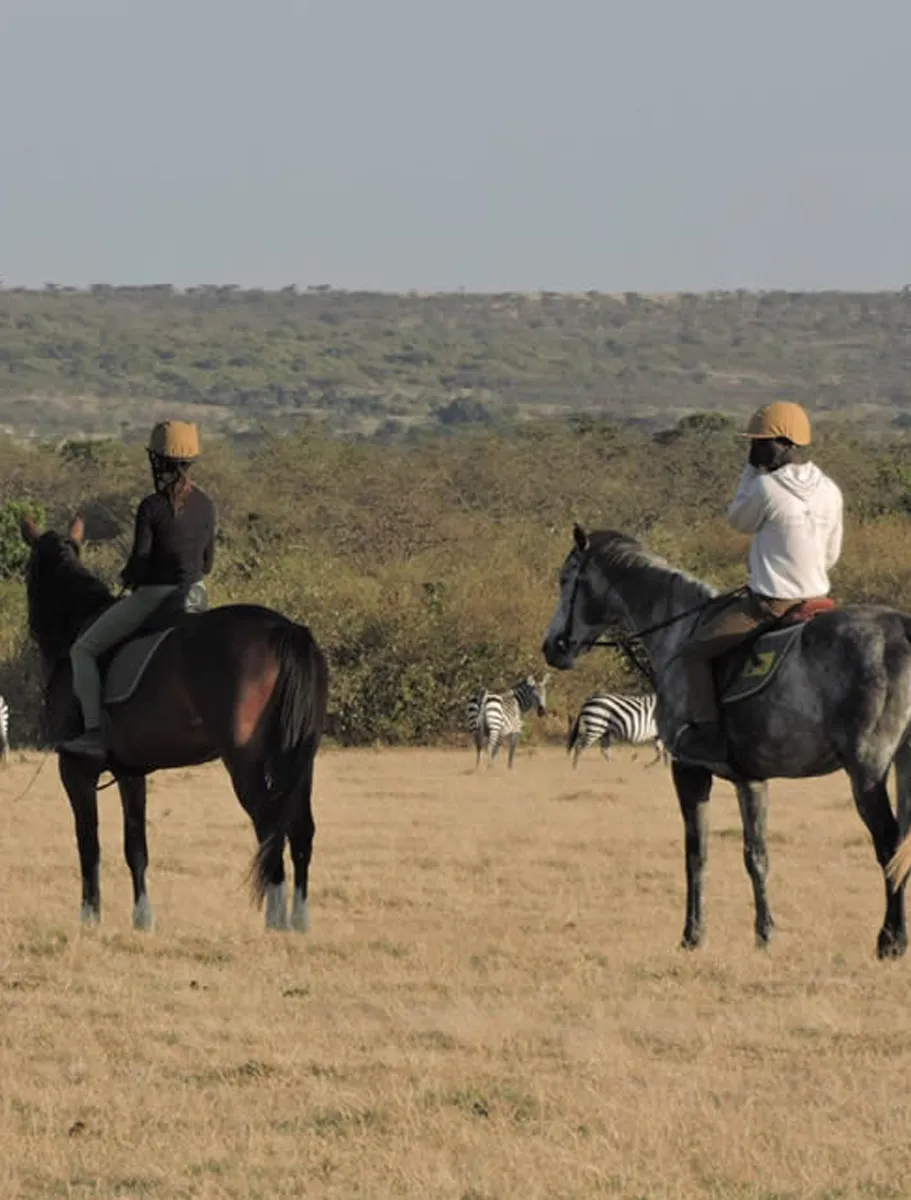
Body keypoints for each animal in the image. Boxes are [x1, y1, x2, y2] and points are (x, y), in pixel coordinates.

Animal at [19, 514, 330, 934]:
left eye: (27, 569)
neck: (75, 626)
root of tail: (285, 628)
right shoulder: (130, 772)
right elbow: (135, 845)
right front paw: (142, 918)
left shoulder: (75, 769)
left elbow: (88, 844)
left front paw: (89, 917)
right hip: (298, 759)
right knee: (299, 830)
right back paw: (298, 920)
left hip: (245, 762)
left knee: (269, 827)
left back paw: (275, 919)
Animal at [541, 524, 911, 960]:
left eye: (566, 579)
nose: (552, 647)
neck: (677, 631)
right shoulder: (750, 779)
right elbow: (756, 854)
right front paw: (764, 933)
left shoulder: (689, 770)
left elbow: (696, 855)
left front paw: (692, 934)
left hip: (867, 772)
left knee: (888, 845)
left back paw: (890, 939)